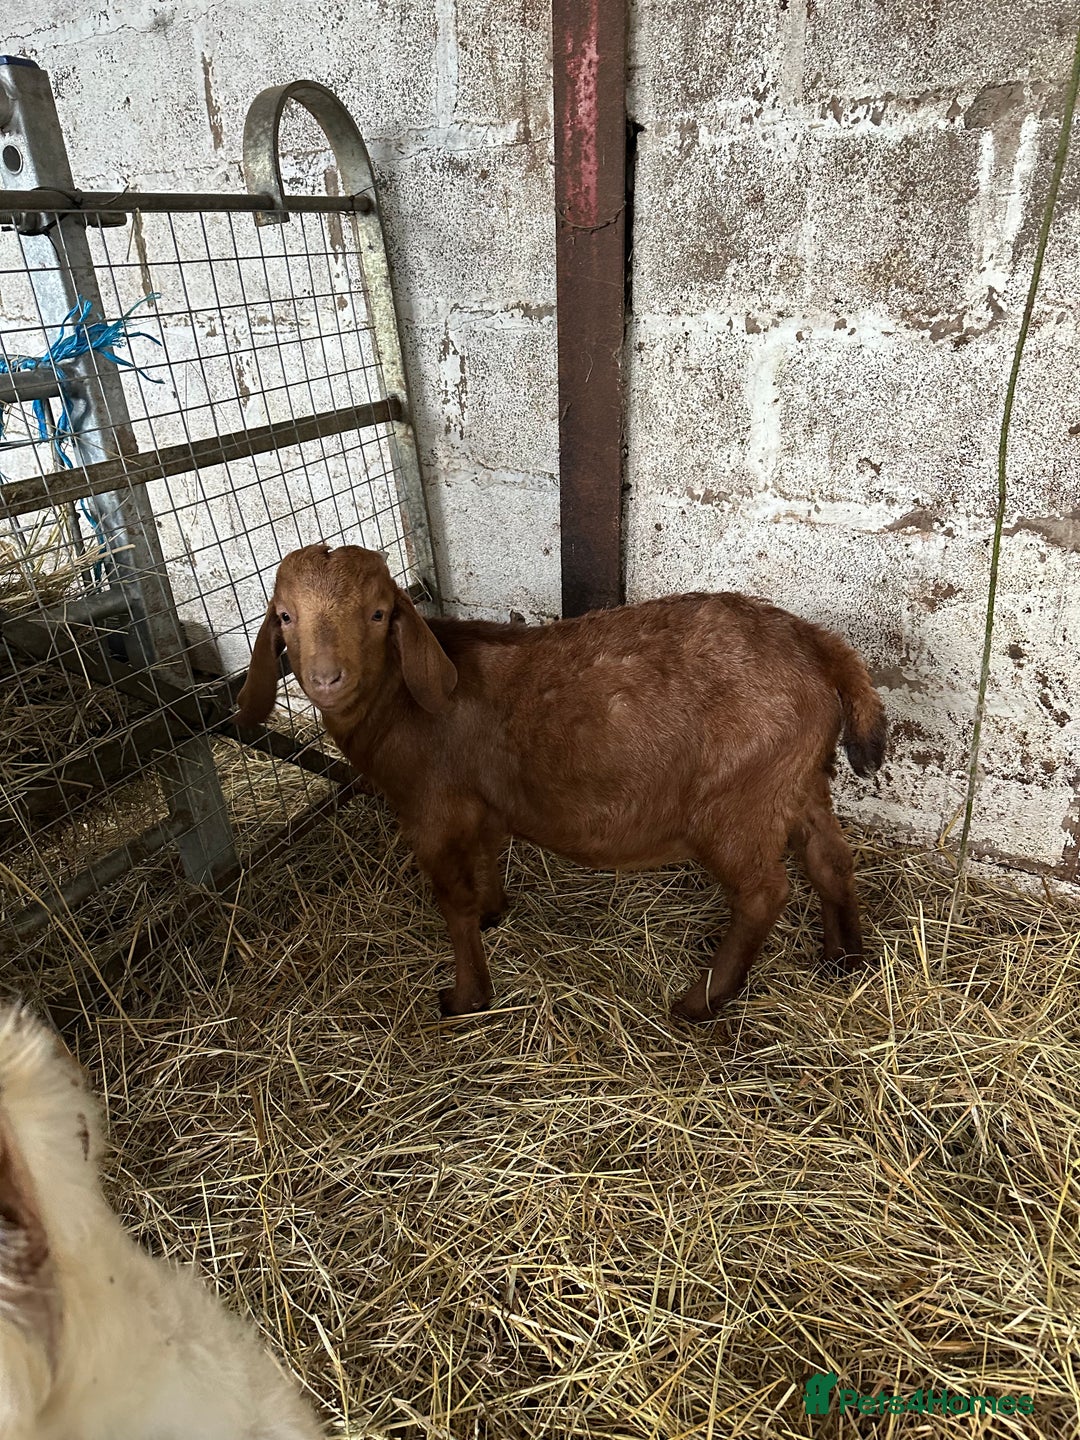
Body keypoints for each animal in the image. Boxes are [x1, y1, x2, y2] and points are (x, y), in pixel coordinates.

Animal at [237, 545, 887, 1022]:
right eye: (285, 616)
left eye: (377, 614)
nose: (325, 678)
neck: (405, 701)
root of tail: (816, 644)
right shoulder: (482, 804)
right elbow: (487, 860)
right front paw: (495, 912)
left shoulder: (433, 814)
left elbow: (452, 902)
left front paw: (466, 997)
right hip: (798, 779)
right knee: (830, 858)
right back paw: (843, 957)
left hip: (739, 801)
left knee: (763, 893)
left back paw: (702, 1000)